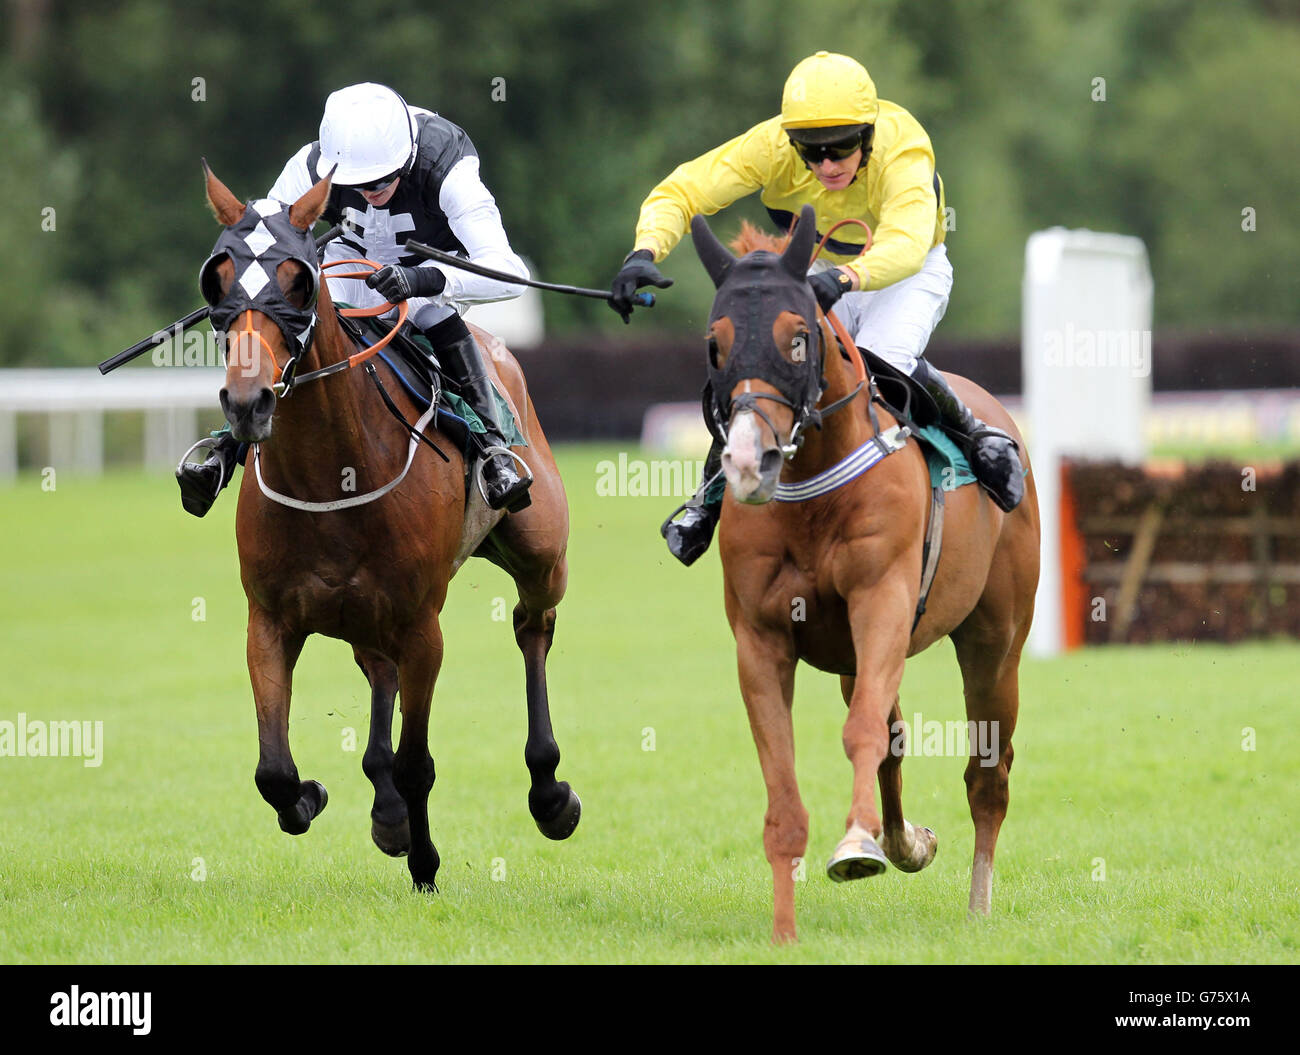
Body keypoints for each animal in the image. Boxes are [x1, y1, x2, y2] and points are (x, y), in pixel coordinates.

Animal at [195, 163, 577, 888]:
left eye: (298, 279)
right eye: (219, 277)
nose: (247, 402)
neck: (331, 476)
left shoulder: (422, 625)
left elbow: (416, 760)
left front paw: (426, 864)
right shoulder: (270, 618)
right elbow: (273, 769)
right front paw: (311, 797)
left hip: (541, 554)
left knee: (533, 626)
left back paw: (548, 791)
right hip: (362, 616)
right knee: (379, 675)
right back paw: (388, 812)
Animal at [696, 203, 1040, 940]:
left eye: (799, 339)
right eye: (716, 344)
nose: (748, 463)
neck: (813, 491)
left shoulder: (881, 601)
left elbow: (861, 733)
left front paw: (856, 844)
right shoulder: (762, 639)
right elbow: (786, 778)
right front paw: (785, 931)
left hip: (995, 643)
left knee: (987, 776)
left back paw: (977, 903)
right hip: (855, 656)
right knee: (893, 737)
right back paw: (909, 842)